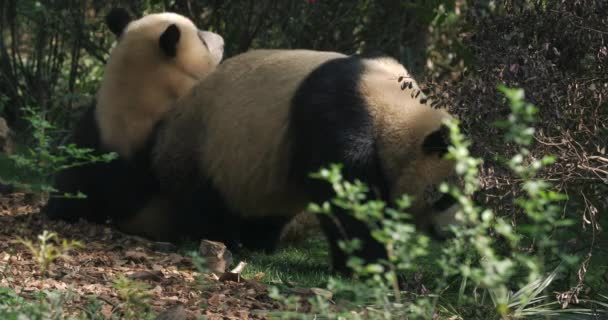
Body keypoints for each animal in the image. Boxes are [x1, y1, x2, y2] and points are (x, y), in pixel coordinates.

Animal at [126, 49, 458, 272]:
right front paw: (370, 265)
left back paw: (259, 242)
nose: (454, 234)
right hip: (200, 146)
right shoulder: (337, 117)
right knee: (205, 202)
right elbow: (346, 197)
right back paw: (225, 242)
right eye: (447, 198)